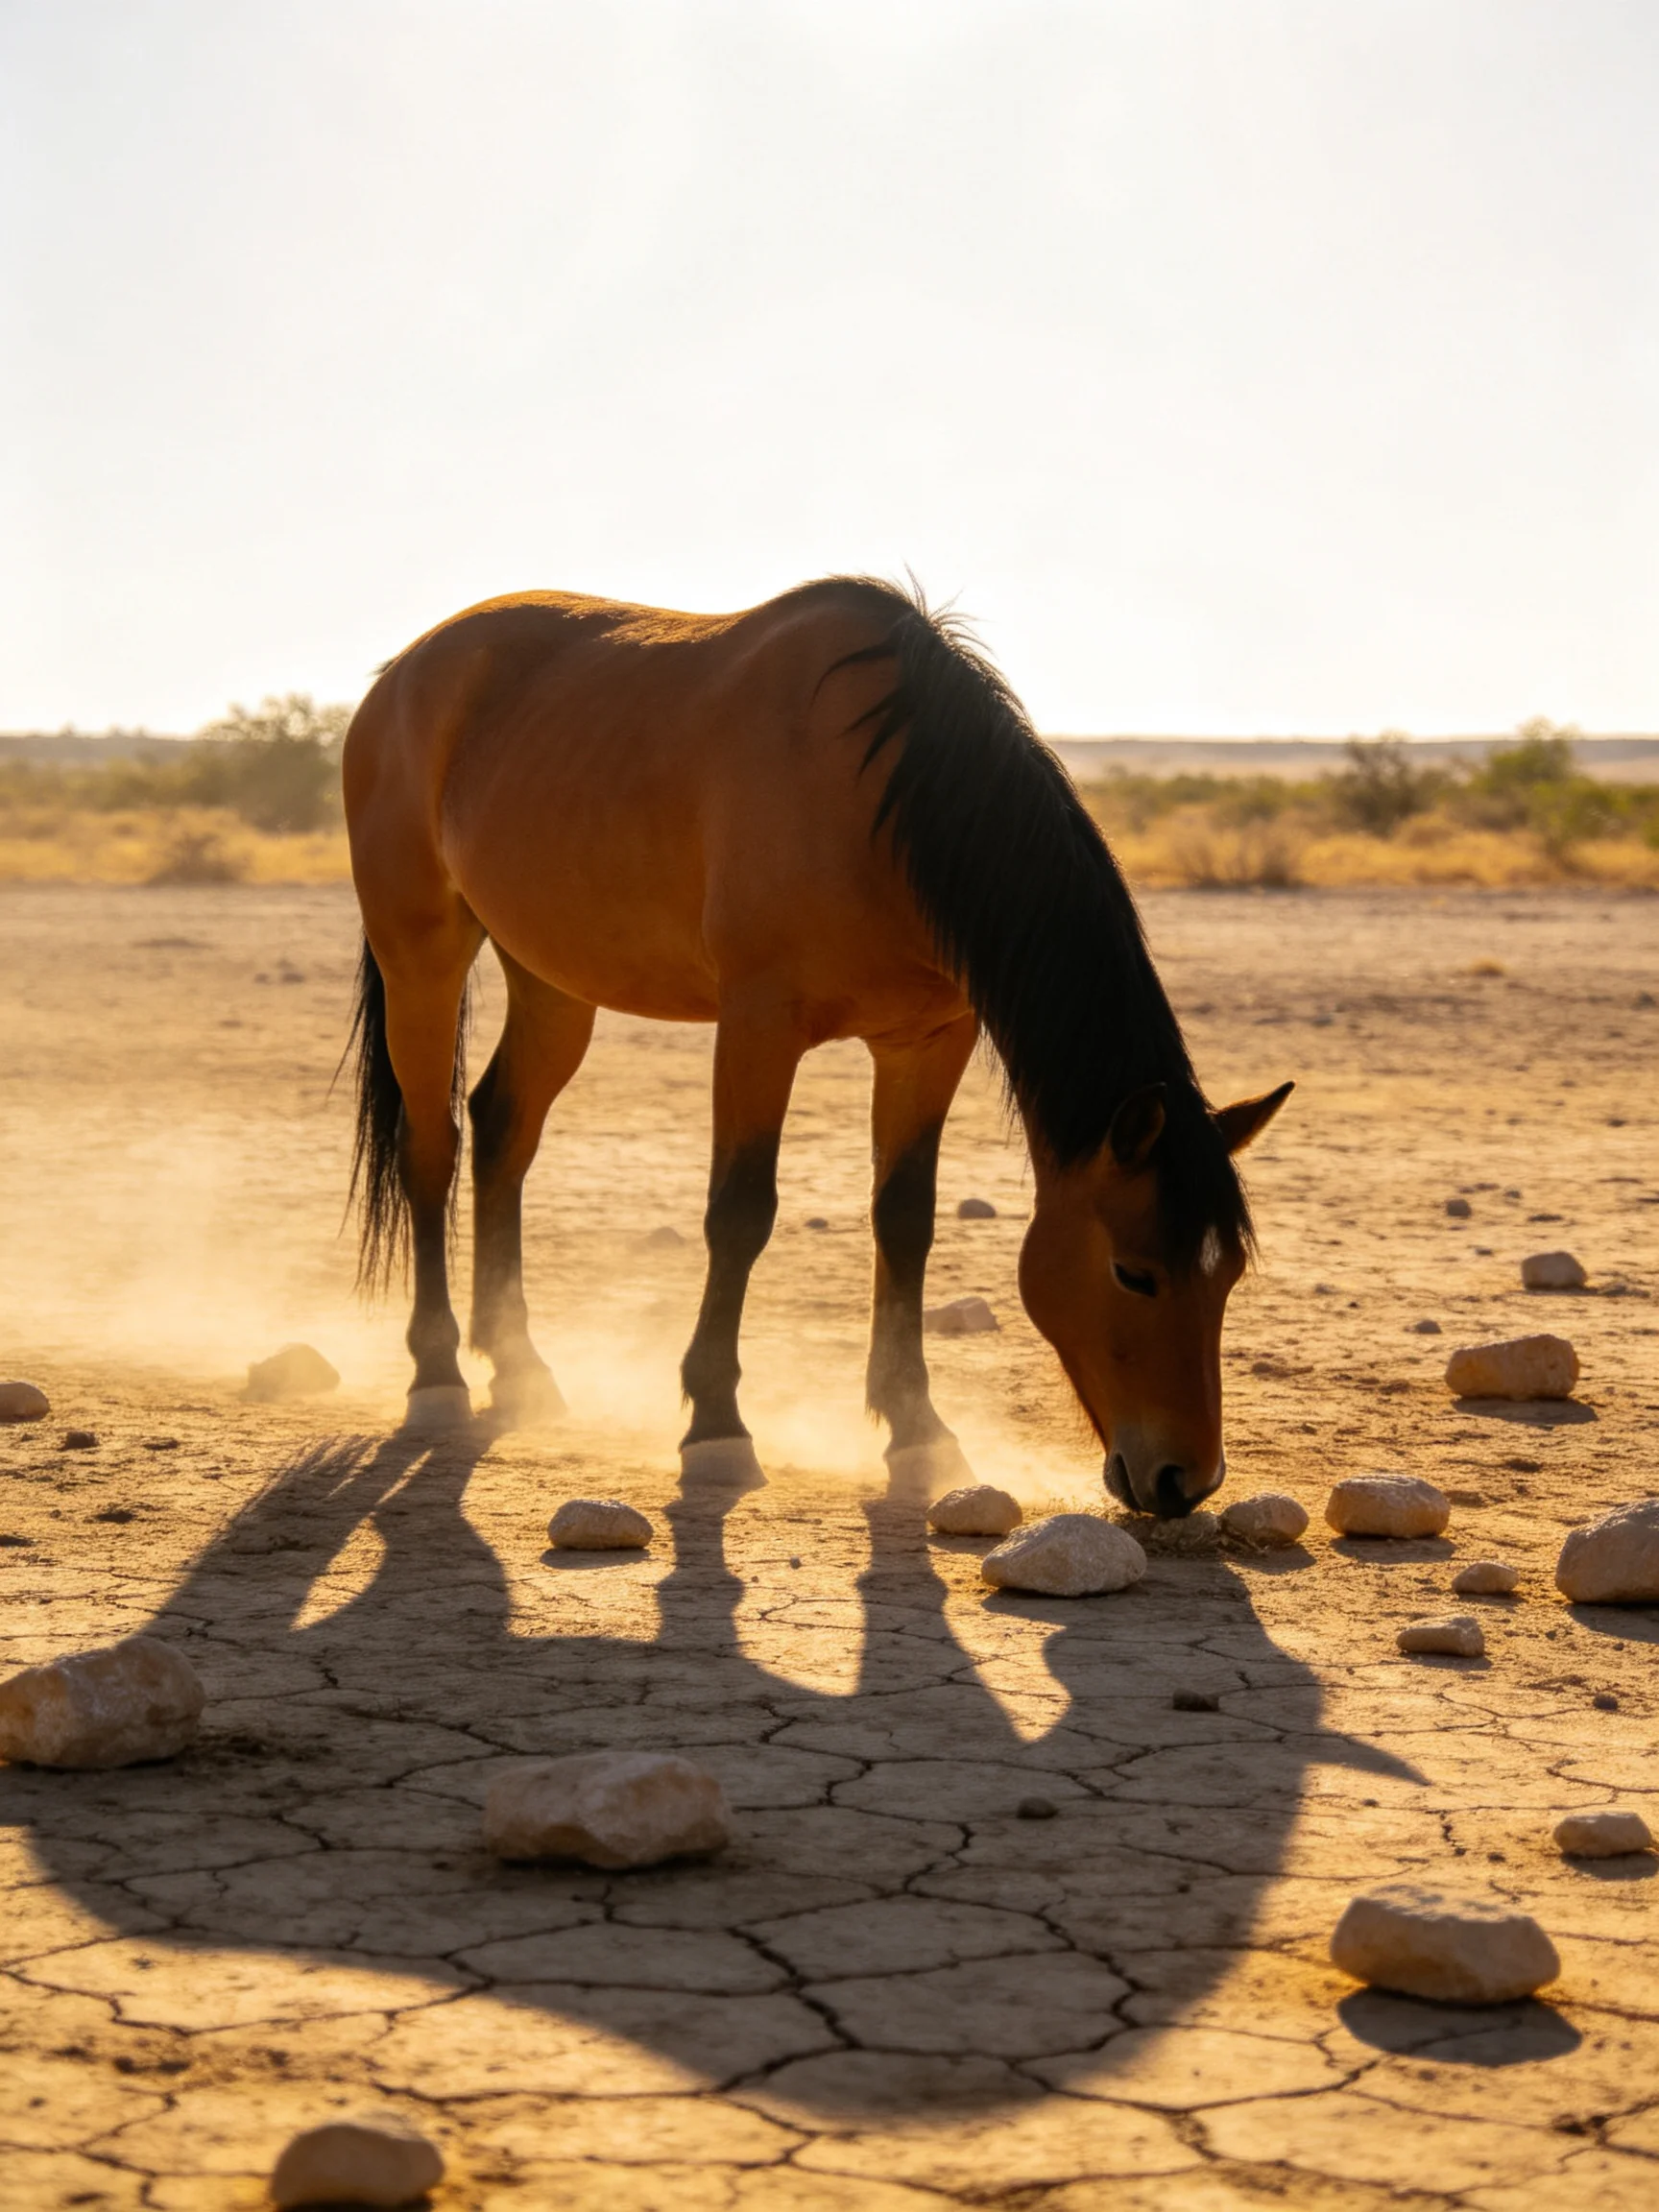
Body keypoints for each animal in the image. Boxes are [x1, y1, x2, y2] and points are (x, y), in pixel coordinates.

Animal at [341, 576, 1291, 1517]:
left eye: (1229, 1275)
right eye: (1134, 1273)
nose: (1185, 1481)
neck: (883, 800)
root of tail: (403, 674)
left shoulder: (926, 1041)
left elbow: (904, 1220)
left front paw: (916, 1429)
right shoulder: (759, 1025)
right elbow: (740, 1213)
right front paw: (717, 1425)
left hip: (552, 980)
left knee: (501, 1129)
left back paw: (519, 1367)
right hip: (421, 952)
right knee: (432, 1146)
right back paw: (437, 1373)